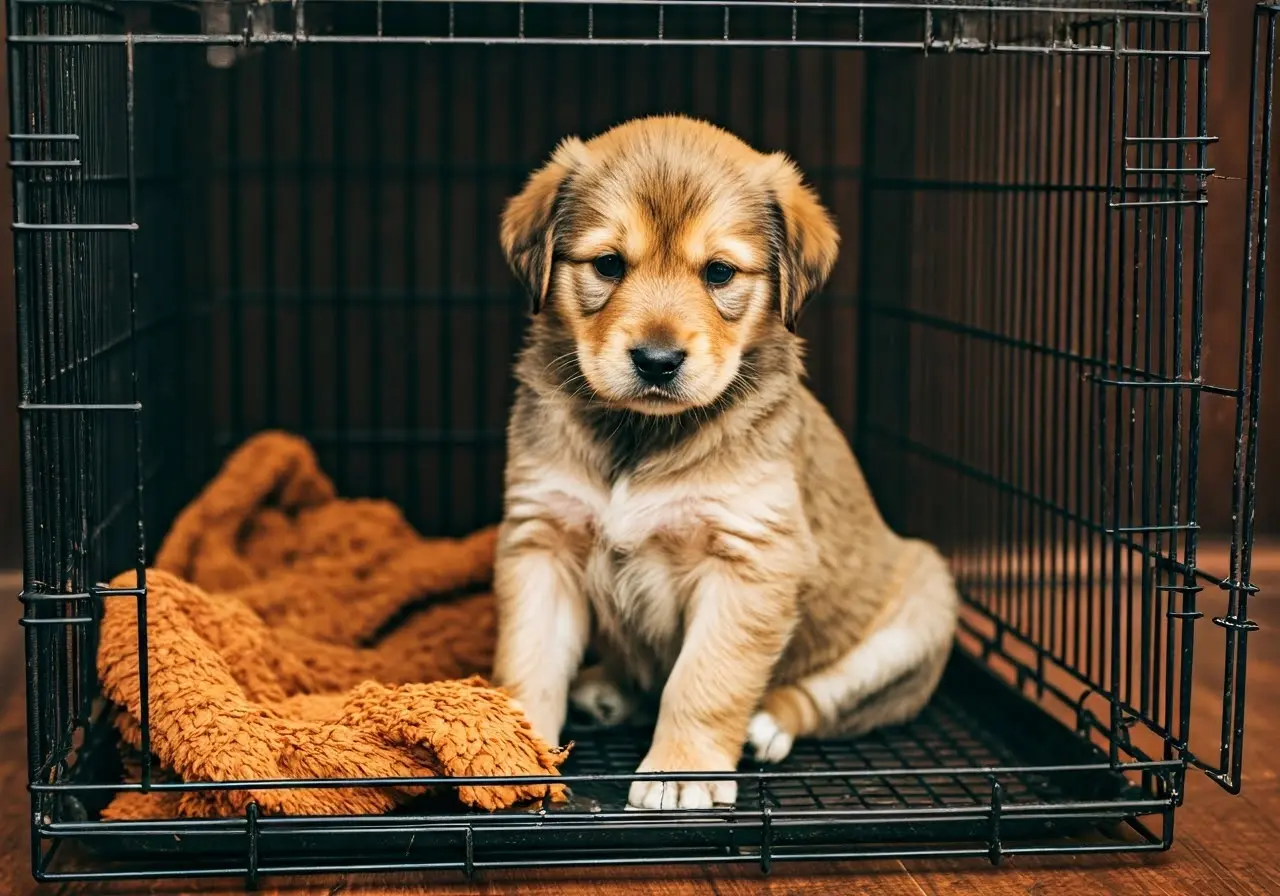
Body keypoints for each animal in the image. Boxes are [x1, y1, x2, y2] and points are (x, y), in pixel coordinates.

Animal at [494, 113, 957, 814]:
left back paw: (766, 727)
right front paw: (510, 753)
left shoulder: (749, 560)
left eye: (718, 273)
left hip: (920, 615)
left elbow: (704, 681)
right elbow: (527, 665)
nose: (657, 361)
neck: (640, 438)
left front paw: (681, 772)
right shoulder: (542, 541)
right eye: (608, 265)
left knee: (812, 698)